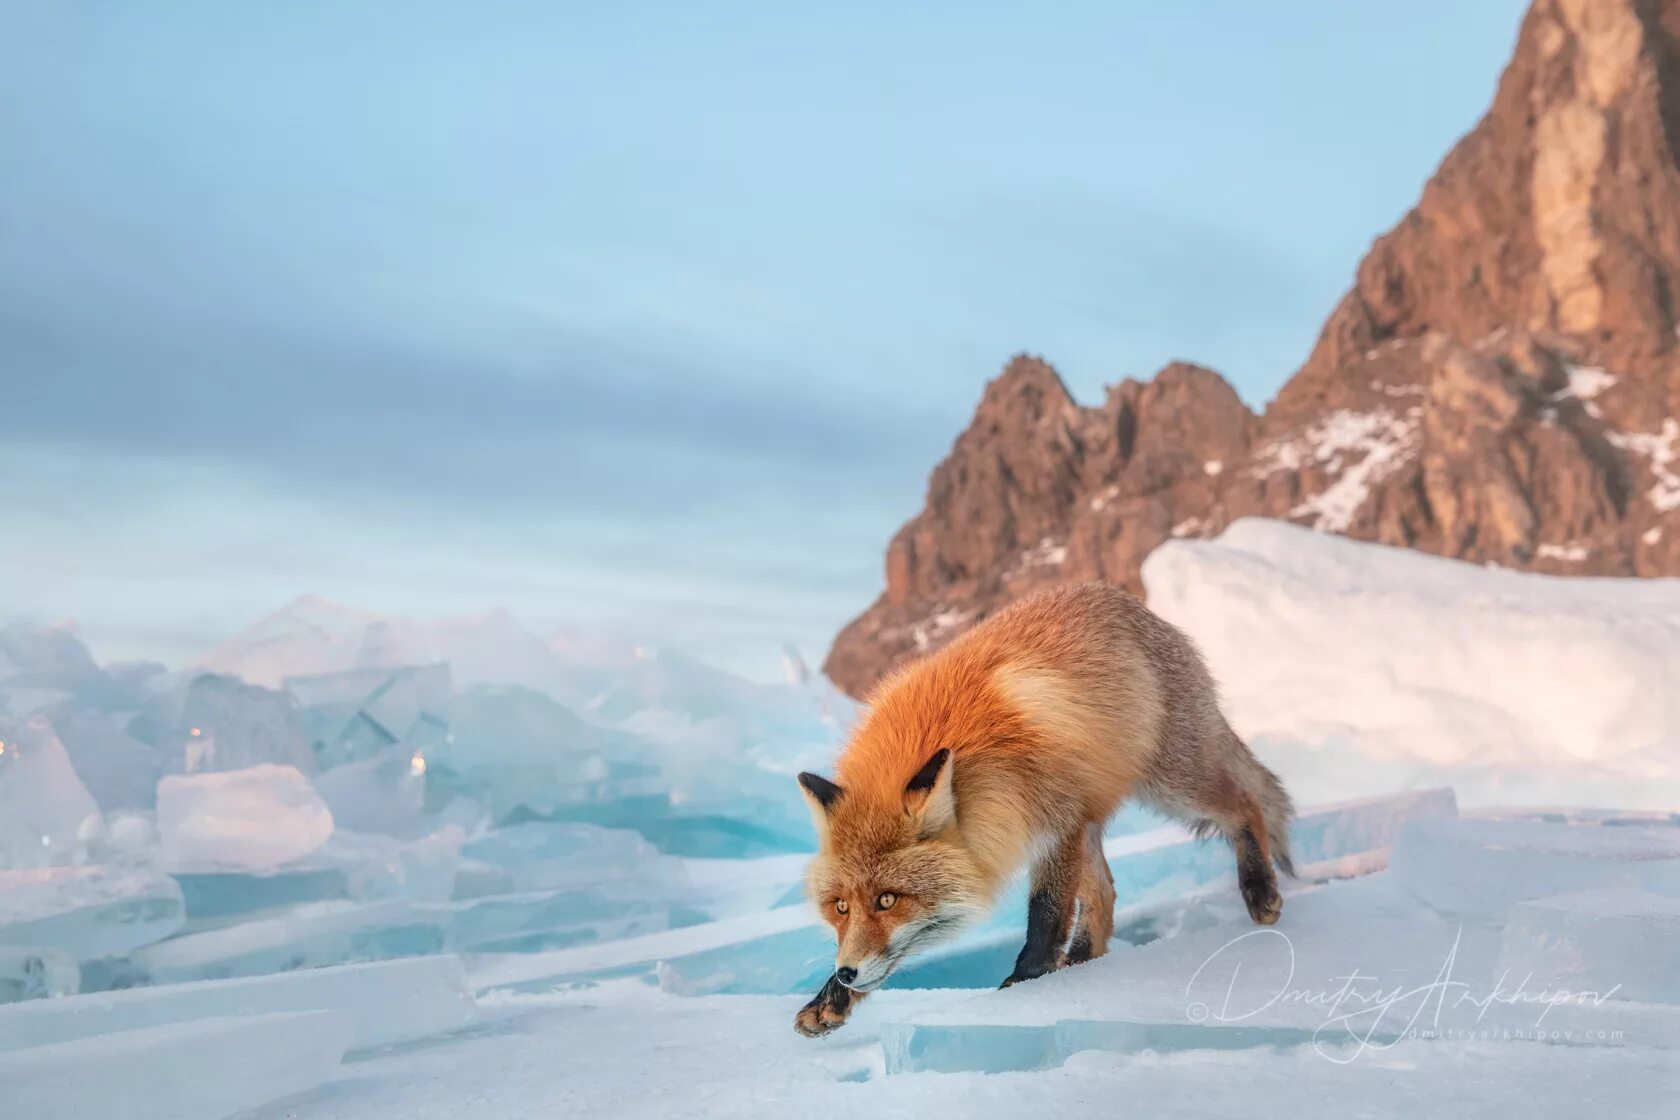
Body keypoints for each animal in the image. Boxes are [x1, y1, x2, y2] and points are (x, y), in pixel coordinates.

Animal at [792, 584, 1290, 1041]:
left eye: (888, 900)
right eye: (840, 907)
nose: (846, 973)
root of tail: (1127, 602)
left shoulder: (1055, 824)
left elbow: (1046, 916)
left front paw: (1024, 986)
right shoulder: (1058, 824)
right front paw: (830, 1000)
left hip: (1169, 785)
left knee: (1244, 805)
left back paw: (1260, 889)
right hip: (1098, 817)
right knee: (1106, 894)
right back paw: (1083, 963)